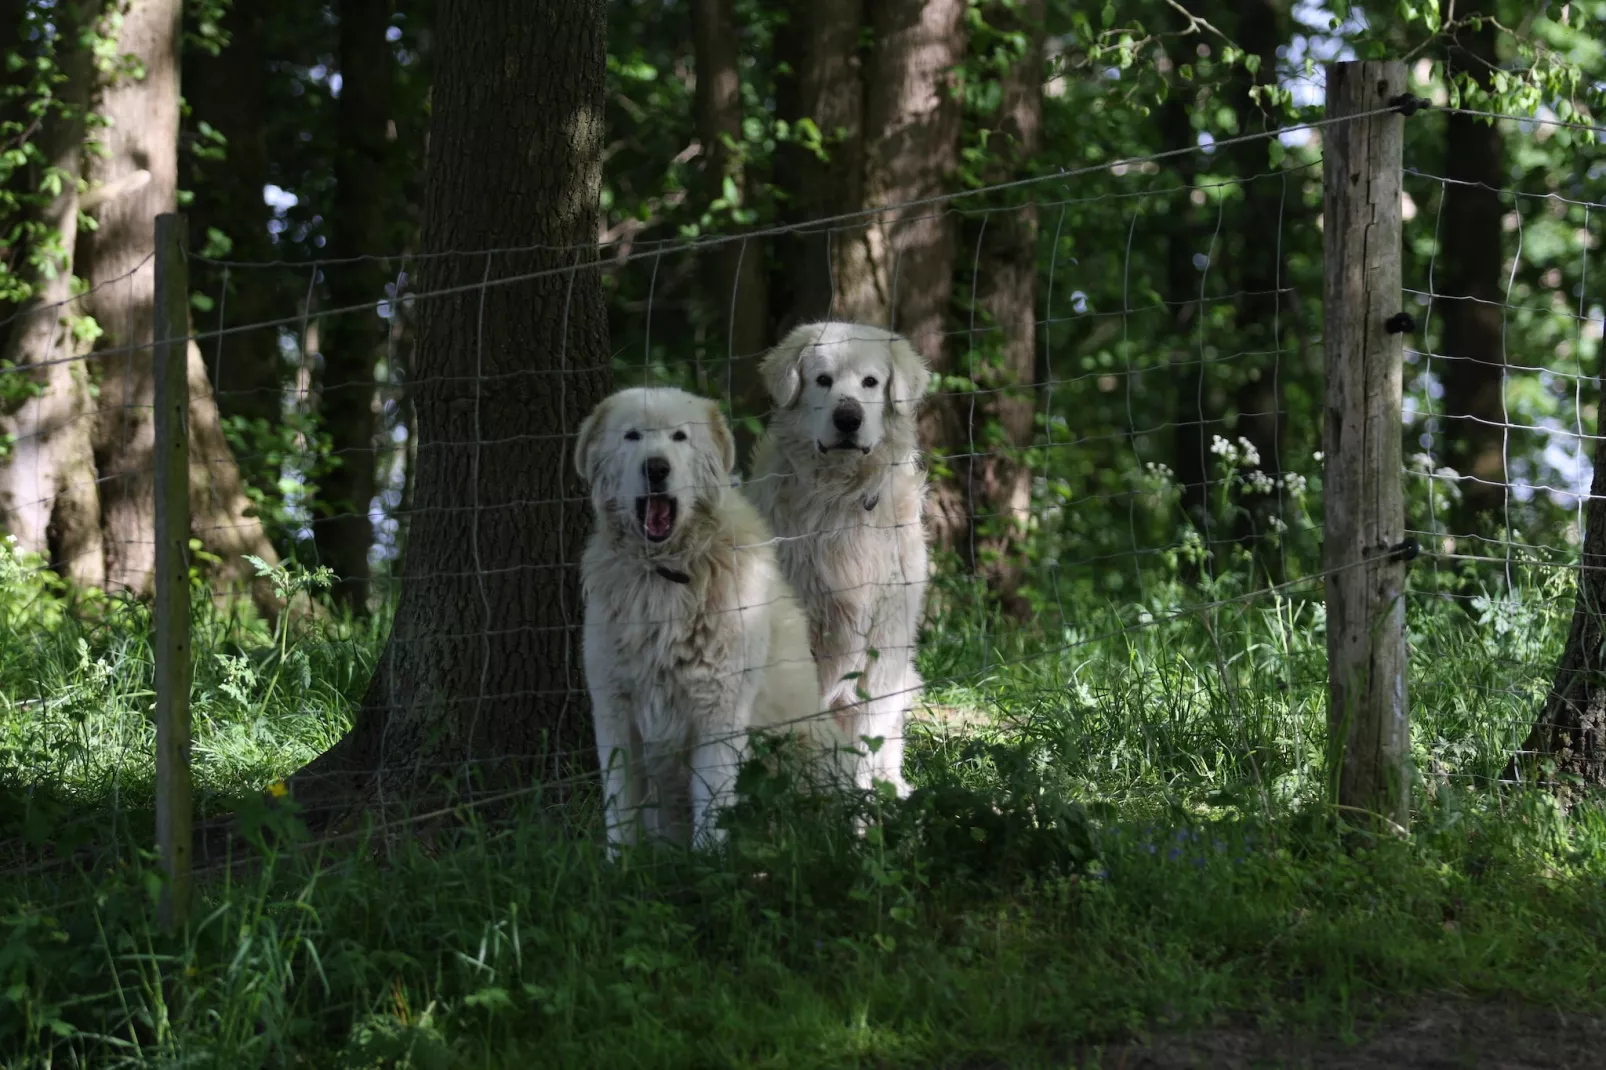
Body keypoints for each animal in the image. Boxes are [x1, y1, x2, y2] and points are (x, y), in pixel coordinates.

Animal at [574, 380, 841, 841]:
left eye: (680, 437)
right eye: (632, 436)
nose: (656, 468)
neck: (665, 575)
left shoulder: (718, 713)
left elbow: (712, 814)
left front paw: (709, 860)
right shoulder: (615, 711)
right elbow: (620, 814)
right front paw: (622, 859)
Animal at [745, 316, 937, 790]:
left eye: (870, 382)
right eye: (823, 380)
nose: (848, 418)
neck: (840, 497)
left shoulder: (886, 636)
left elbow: (867, 732)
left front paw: (861, 796)